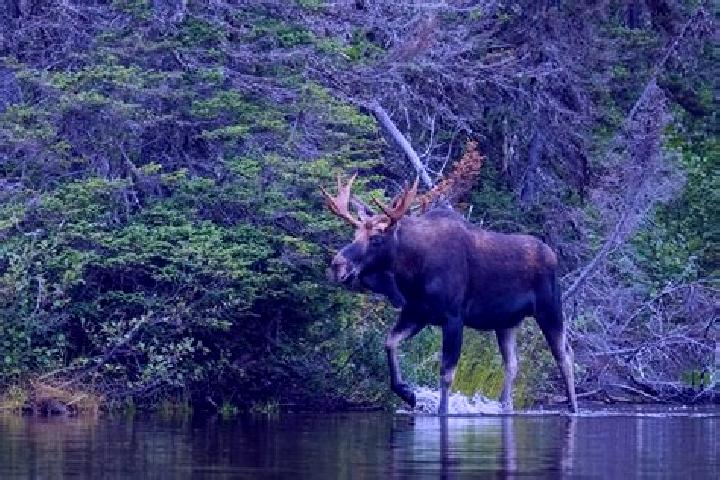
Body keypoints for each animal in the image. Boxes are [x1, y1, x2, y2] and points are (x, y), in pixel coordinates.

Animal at [321, 174, 578, 415]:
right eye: (354, 235)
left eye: (375, 238)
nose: (337, 265)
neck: (411, 272)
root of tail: (552, 255)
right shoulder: (416, 313)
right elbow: (390, 342)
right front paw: (407, 393)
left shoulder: (453, 317)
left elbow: (446, 372)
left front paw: (441, 410)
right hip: (505, 322)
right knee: (513, 363)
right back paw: (505, 406)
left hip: (550, 308)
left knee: (564, 356)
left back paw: (573, 407)